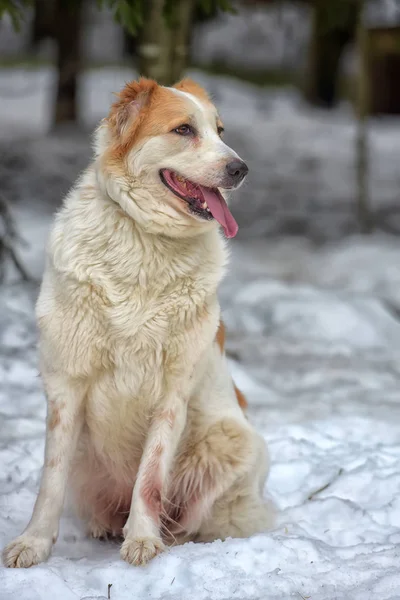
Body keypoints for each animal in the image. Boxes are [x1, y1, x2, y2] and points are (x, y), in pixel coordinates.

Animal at [2, 76, 272, 568]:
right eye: (184, 130)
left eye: (220, 130)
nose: (241, 169)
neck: (146, 239)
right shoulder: (66, 384)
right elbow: (50, 479)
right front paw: (33, 542)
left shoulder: (172, 392)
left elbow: (150, 477)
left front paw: (144, 539)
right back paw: (105, 526)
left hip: (233, 442)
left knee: (190, 516)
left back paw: (169, 535)